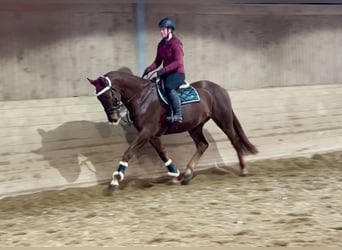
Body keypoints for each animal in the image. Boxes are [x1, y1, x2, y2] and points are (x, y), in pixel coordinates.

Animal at [87, 70, 258, 191]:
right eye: (99, 98)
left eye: (108, 95)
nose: (113, 119)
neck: (142, 98)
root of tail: (219, 88)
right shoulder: (152, 135)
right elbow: (163, 153)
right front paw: (174, 175)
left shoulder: (147, 132)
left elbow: (129, 152)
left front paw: (115, 180)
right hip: (195, 126)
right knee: (202, 145)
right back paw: (187, 174)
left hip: (223, 120)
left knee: (234, 141)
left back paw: (243, 169)